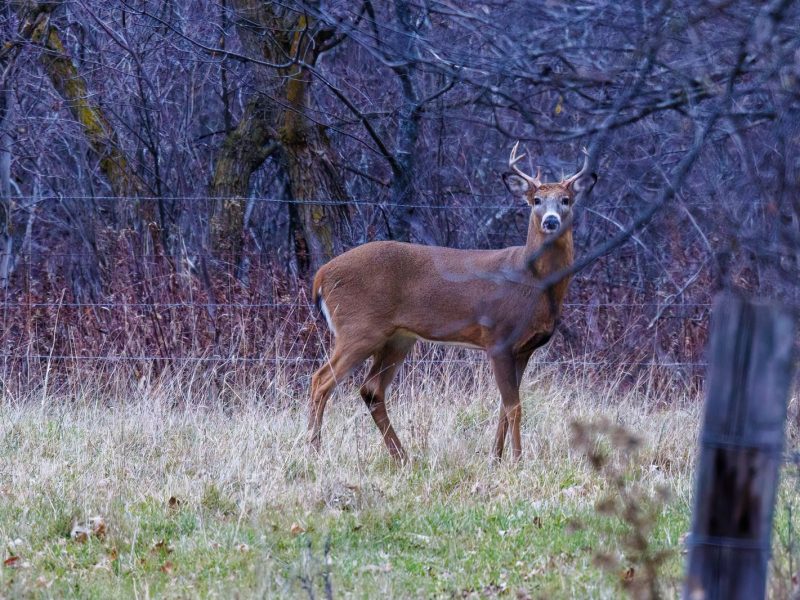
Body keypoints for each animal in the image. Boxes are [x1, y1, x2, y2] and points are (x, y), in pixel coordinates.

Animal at [308, 143, 597, 463]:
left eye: (566, 200)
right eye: (536, 200)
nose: (550, 221)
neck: (533, 281)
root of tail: (321, 276)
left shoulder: (523, 349)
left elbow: (503, 407)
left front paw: (495, 458)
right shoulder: (498, 339)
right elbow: (514, 407)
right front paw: (517, 460)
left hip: (397, 338)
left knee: (371, 390)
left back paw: (402, 456)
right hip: (358, 328)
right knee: (320, 380)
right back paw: (314, 450)